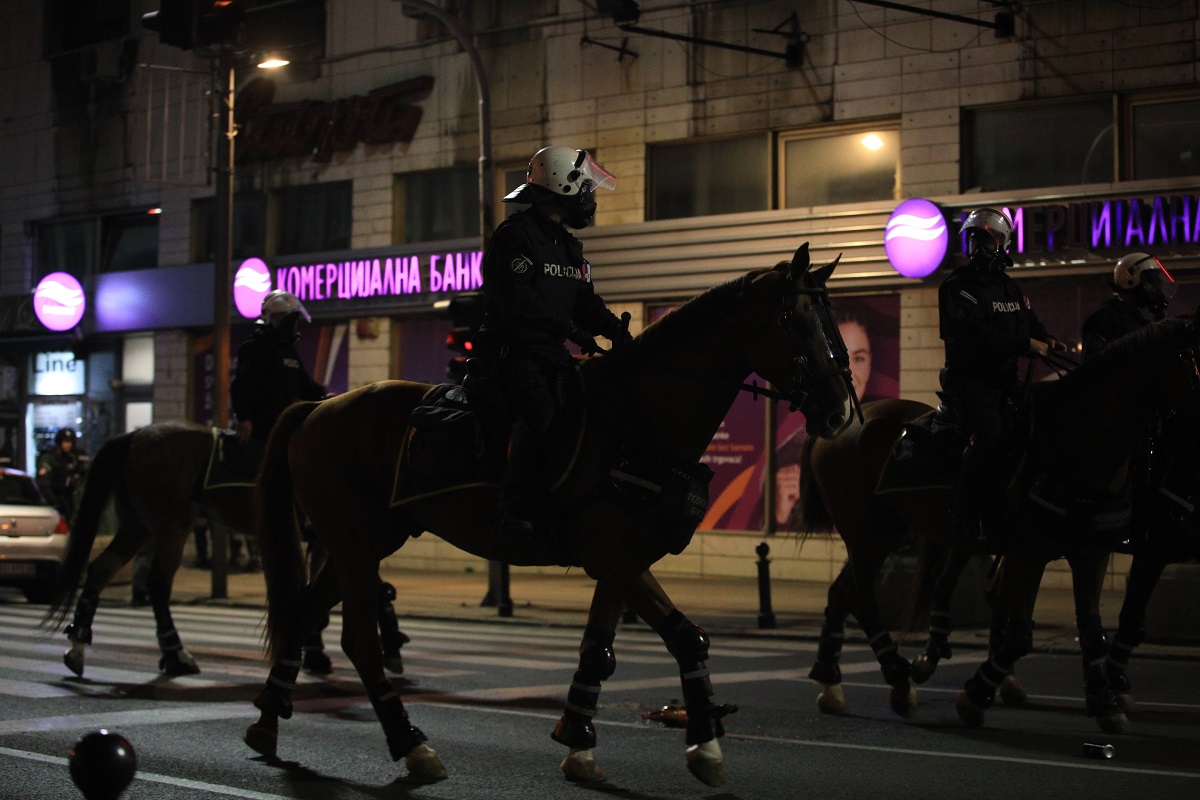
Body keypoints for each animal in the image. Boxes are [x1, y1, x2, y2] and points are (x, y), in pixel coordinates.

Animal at [43, 422, 408, 678]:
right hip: (172, 528)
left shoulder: (328, 542)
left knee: (100, 569)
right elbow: (366, 590)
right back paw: (175, 655)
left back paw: (77, 647)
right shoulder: (340, 539)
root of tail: (135, 435)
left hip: (138, 527)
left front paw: (313, 652)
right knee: (158, 585)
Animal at [242, 244, 856, 788]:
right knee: (361, 642)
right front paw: (704, 745)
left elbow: (599, 651)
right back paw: (410, 743)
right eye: (795, 322)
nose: (840, 413)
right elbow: (688, 639)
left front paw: (579, 743)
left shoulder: (621, 563)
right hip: (355, 544)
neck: (636, 416)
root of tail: (316, 408)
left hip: (359, 542)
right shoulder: (615, 560)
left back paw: (268, 722)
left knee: (302, 616)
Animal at [796, 309, 1200, 734]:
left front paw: (1106, 702)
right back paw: (900, 680)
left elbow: (1092, 631)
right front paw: (975, 696)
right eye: (1194, 366)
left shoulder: (1093, 553)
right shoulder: (1034, 553)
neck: (1077, 441)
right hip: (871, 535)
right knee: (863, 600)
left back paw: (832, 682)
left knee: (844, 595)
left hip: (880, 536)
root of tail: (842, 423)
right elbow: (1021, 635)